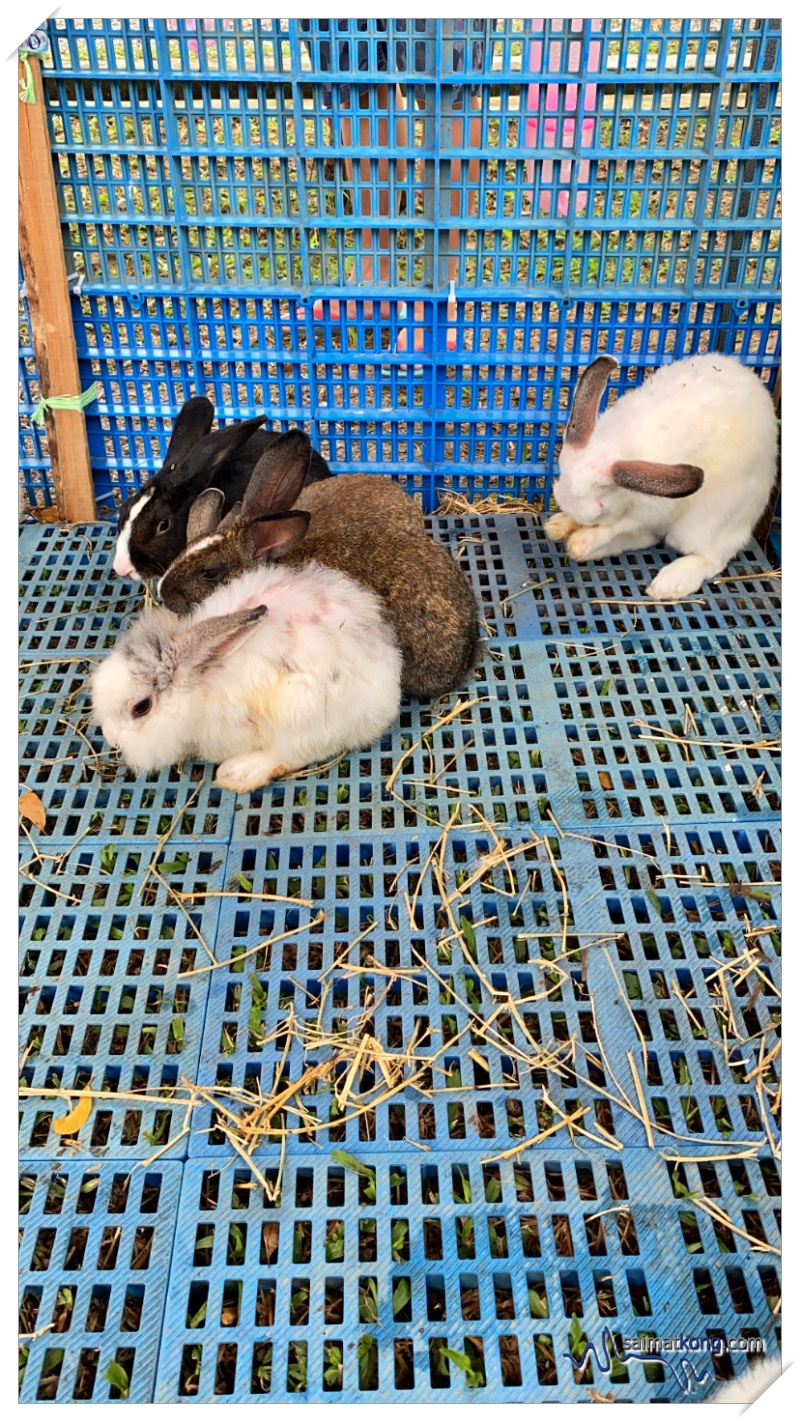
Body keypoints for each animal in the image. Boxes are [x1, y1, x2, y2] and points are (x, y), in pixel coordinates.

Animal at [545, 358, 778, 602]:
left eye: (601, 507)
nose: (572, 526)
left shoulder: (652, 510)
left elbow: (619, 525)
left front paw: (581, 542)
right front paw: (557, 526)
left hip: (703, 525)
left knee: (712, 558)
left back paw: (667, 584)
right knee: (650, 538)